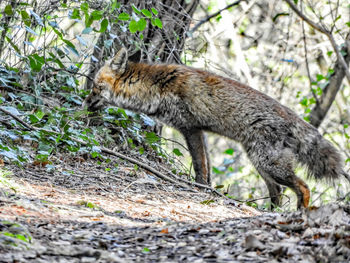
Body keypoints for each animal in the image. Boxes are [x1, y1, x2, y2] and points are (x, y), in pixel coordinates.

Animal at [82, 48, 350, 210]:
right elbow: (208, 167)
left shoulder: (189, 127)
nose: (84, 102)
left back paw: (300, 212)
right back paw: (273, 213)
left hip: (268, 164)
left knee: (302, 187)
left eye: (95, 86)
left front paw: (199, 188)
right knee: (278, 193)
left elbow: (200, 166)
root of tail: (290, 114)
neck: (157, 87)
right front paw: (209, 189)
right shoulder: (200, 131)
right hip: (261, 165)